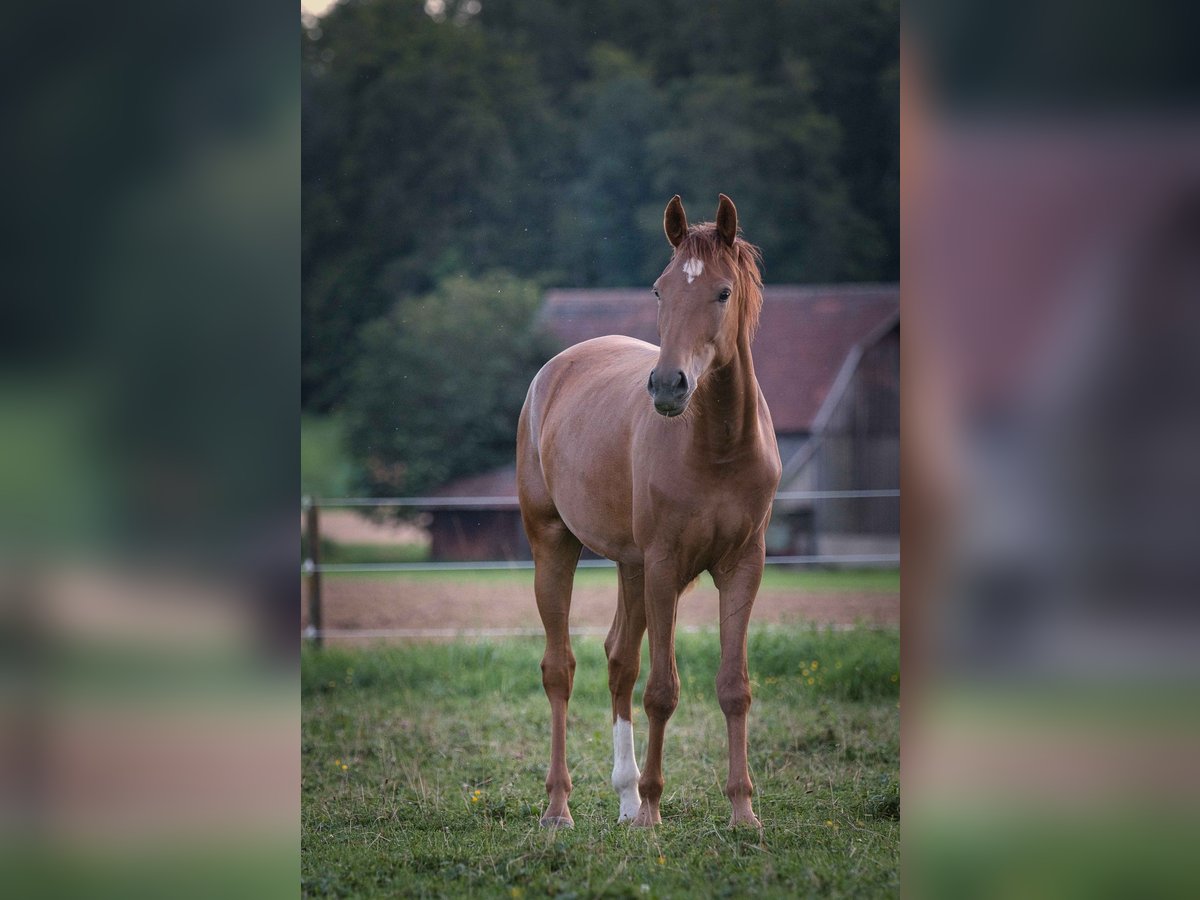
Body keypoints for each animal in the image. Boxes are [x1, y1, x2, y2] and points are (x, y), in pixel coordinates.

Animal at [513, 194, 777, 830]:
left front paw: (743, 813)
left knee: (618, 662)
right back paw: (561, 806)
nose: (667, 386)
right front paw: (656, 810)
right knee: (561, 670)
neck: (718, 446)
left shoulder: (743, 566)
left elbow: (733, 686)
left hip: (629, 568)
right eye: (660, 289)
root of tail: (552, 372)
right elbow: (663, 689)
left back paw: (626, 798)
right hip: (555, 545)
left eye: (723, 292)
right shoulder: (664, 566)